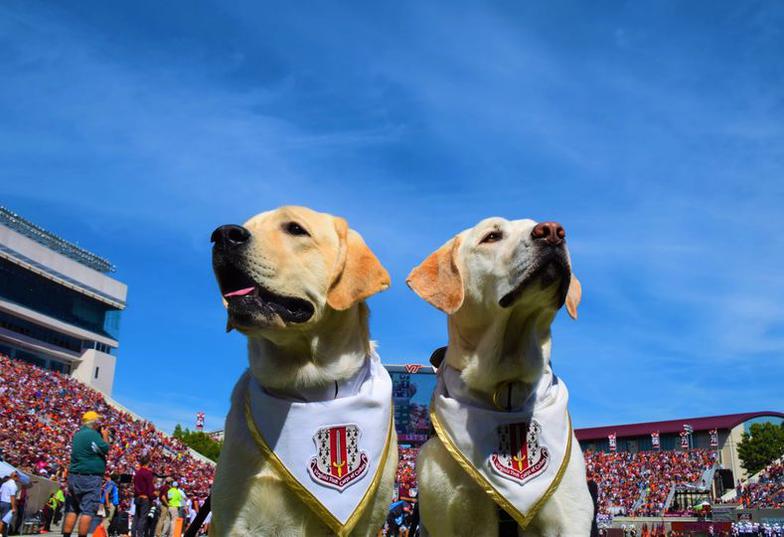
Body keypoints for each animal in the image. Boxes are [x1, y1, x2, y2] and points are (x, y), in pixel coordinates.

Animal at [210, 206, 398, 536]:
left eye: (295, 229)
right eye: (247, 225)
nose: (222, 235)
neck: (311, 389)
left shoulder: (369, 522)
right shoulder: (236, 514)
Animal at [408, 217, 592, 536]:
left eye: (540, 225)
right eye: (492, 236)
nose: (553, 231)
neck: (504, 389)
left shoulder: (571, 518)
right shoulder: (448, 518)